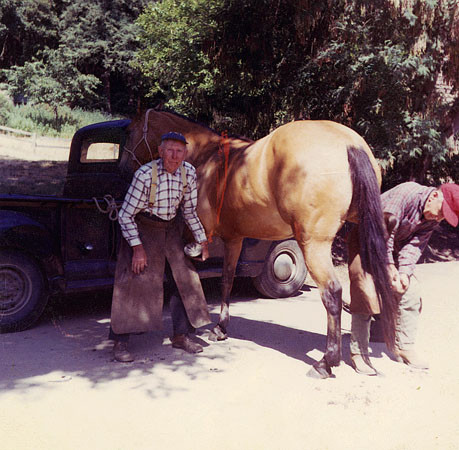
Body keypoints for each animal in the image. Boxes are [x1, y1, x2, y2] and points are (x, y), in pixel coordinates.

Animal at [120, 110, 398, 380]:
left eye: (130, 131)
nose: (124, 170)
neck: (208, 157)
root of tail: (350, 144)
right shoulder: (234, 239)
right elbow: (227, 279)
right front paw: (220, 328)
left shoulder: (200, 235)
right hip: (362, 226)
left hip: (313, 245)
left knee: (332, 292)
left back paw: (326, 362)